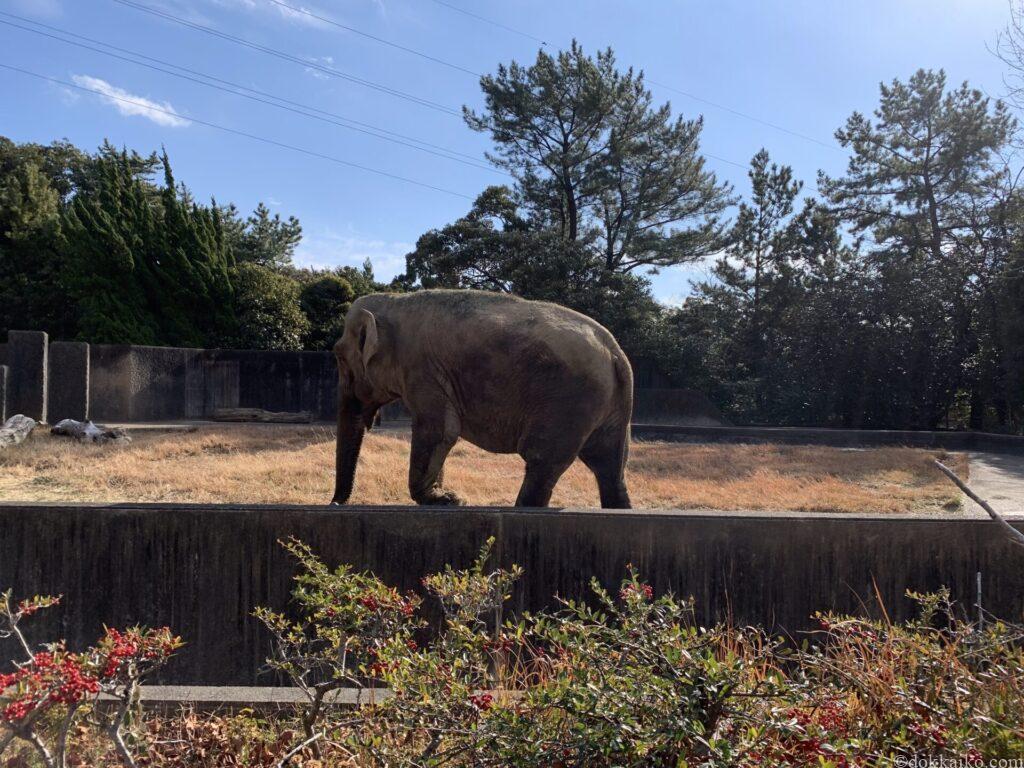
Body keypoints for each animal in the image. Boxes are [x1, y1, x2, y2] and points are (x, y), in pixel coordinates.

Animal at [331, 290, 630, 507]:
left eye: (340, 359)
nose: (334, 504)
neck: (394, 300)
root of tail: (616, 352)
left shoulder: (423, 370)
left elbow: (441, 432)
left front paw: (447, 499)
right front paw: (446, 497)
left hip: (568, 401)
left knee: (542, 461)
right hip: (606, 408)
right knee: (609, 468)